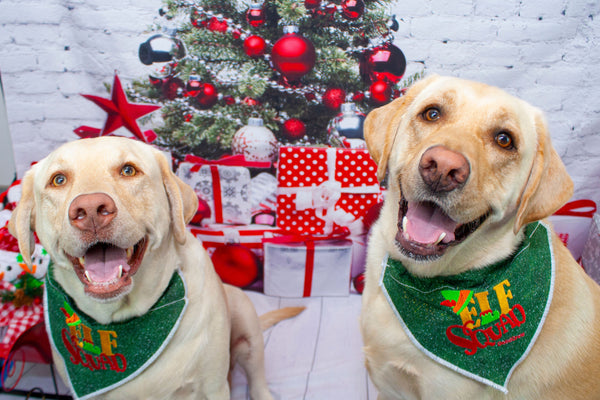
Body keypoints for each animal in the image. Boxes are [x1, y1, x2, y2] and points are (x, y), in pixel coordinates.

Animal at [9, 136, 300, 398]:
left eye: (128, 170)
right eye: (58, 179)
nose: (90, 210)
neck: (120, 321)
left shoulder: (214, 387)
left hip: (245, 320)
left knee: (258, 379)